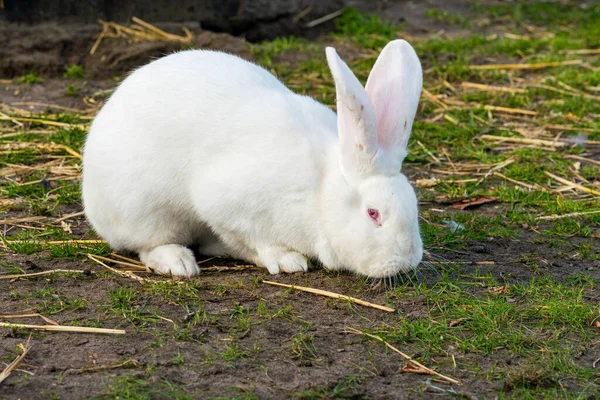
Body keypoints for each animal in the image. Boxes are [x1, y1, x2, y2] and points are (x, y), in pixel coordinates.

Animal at [82, 39, 424, 278]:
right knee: (147, 245)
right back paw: (178, 263)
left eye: (413, 204)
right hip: (145, 211)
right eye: (373, 213)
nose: (407, 262)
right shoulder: (227, 205)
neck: (321, 191)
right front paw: (287, 261)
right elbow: (255, 240)